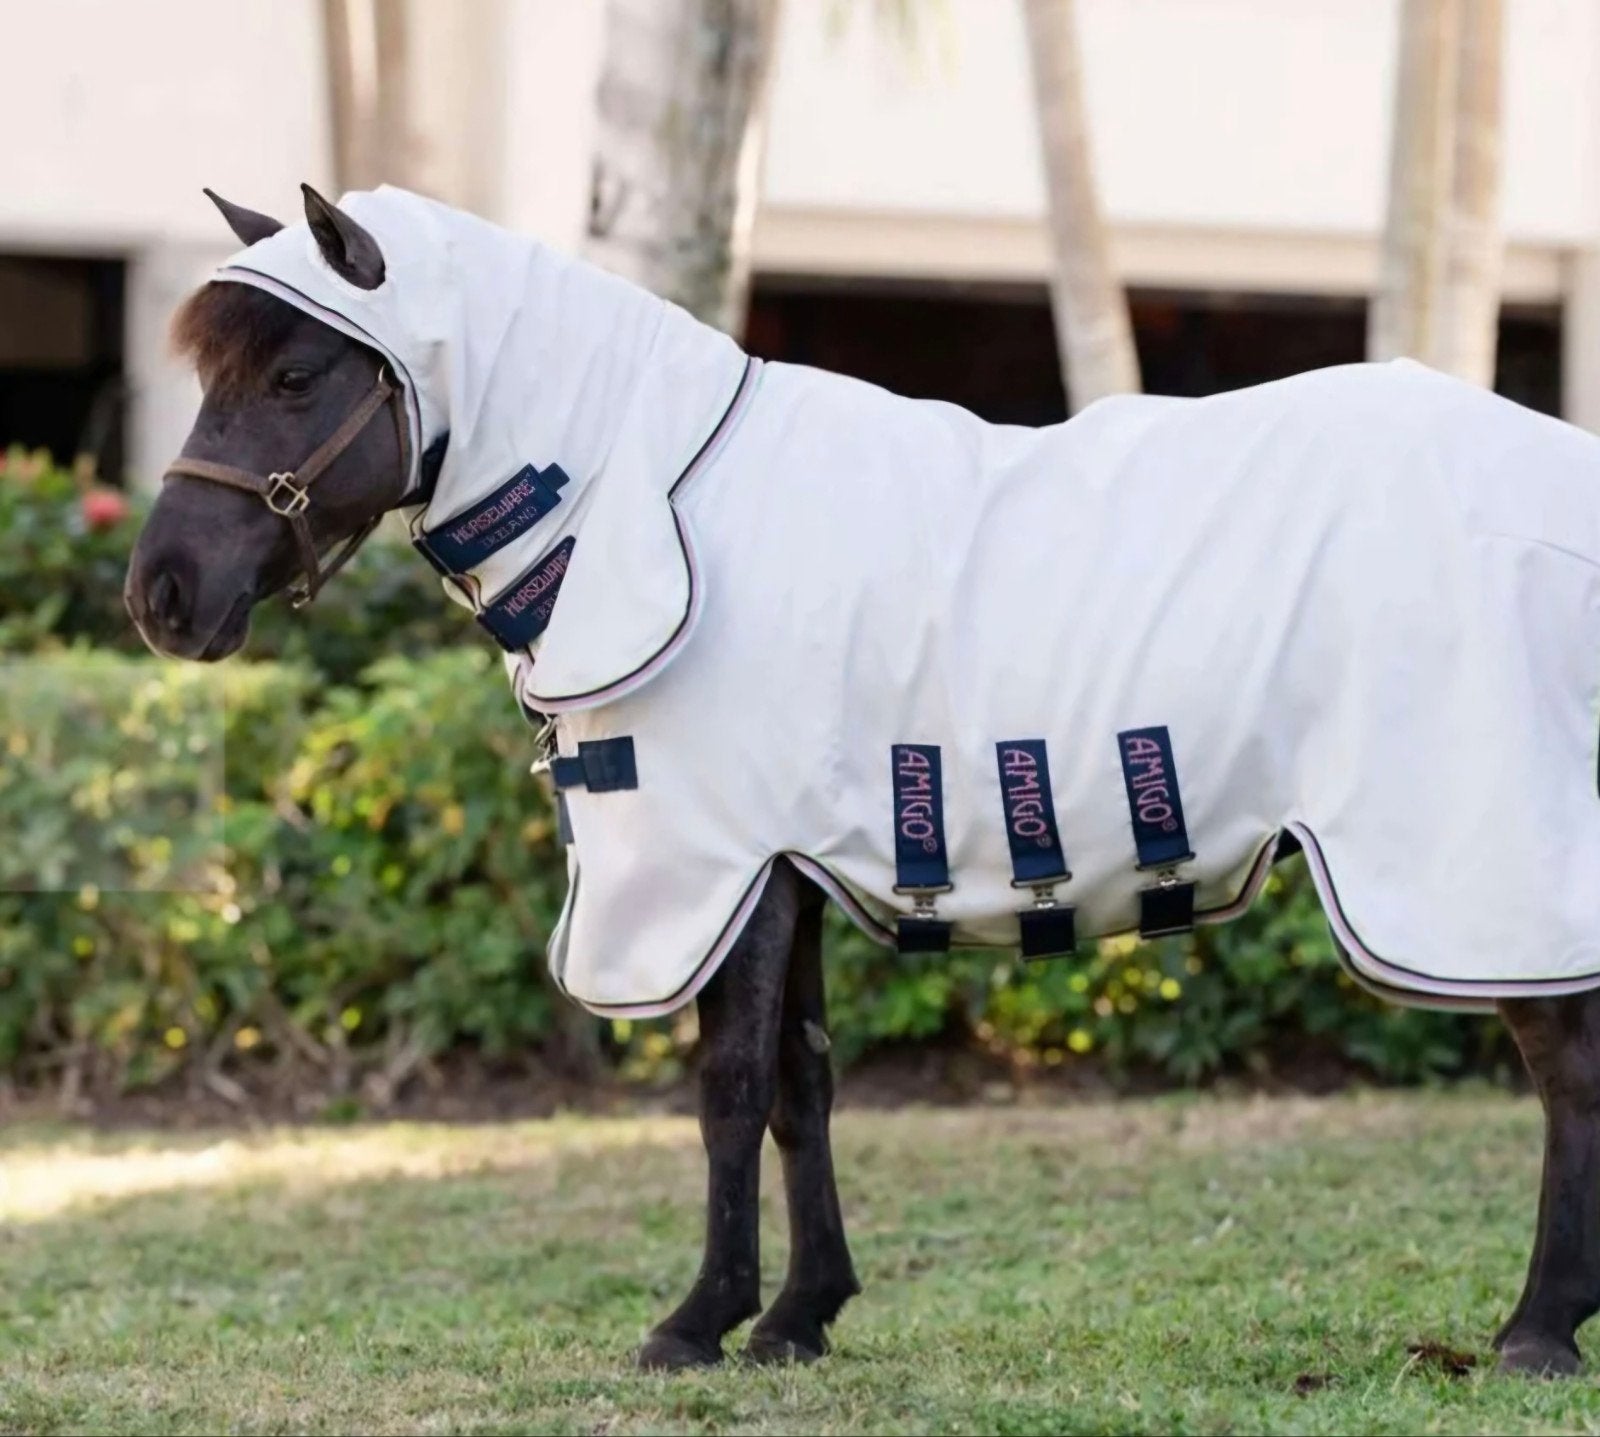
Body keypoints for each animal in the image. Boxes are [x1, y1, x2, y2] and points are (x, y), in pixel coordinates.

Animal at [127, 183, 1600, 1377]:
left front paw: (696, 1321)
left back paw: (1536, 1329)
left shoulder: (725, 861)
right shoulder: (790, 864)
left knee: (1566, 1066)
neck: (656, 507)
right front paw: (799, 1315)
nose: (162, 596)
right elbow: (801, 1085)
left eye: (297, 373)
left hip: (1478, 864)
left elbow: (728, 1086)